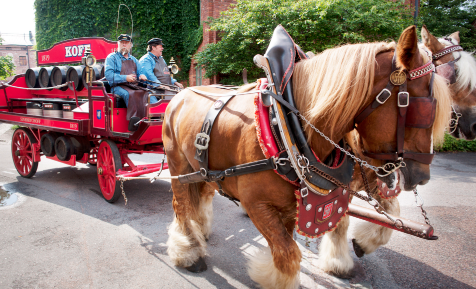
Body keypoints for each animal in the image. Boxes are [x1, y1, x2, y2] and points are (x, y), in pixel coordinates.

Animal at [163, 25, 450, 286]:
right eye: (418, 106)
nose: (422, 176)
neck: (286, 124)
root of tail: (181, 93)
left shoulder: (307, 200)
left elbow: (340, 224)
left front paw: (347, 255)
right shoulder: (258, 204)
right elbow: (289, 255)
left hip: (202, 170)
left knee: (201, 193)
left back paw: (200, 231)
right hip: (178, 166)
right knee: (181, 204)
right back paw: (188, 251)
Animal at [320, 25, 476, 278]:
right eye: (456, 75)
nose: (474, 124)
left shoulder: (382, 178)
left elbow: (394, 209)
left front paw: (365, 242)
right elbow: (340, 218)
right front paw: (337, 262)